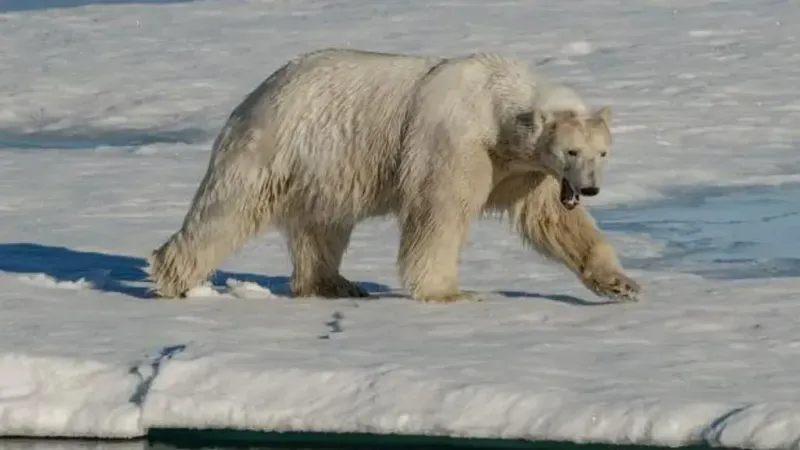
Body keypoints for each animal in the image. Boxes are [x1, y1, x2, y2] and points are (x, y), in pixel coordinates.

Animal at [147, 48, 640, 302]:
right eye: (571, 150)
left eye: (602, 152)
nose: (589, 188)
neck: (496, 105)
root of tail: (256, 93)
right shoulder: (454, 141)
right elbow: (439, 212)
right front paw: (450, 292)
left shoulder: (524, 169)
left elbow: (554, 221)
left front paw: (621, 284)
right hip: (277, 146)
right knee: (226, 211)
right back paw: (172, 278)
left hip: (325, 169)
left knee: (323, 225)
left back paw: (334, 284)